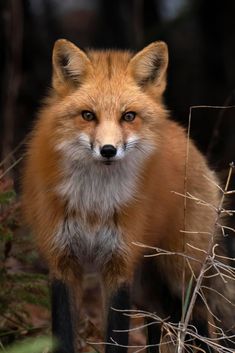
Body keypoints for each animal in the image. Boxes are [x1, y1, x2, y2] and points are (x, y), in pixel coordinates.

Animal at [21, 40, 233, 350]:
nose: (108, 150)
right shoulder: (61, 261)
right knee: (157, 325)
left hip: (182, 274)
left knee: (201, 327)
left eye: (128, 116)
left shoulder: (119, 264)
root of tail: (183, 135)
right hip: (148, 289)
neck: (94, 203)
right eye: (88, 115)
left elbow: (116, 338)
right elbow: (63, 334)